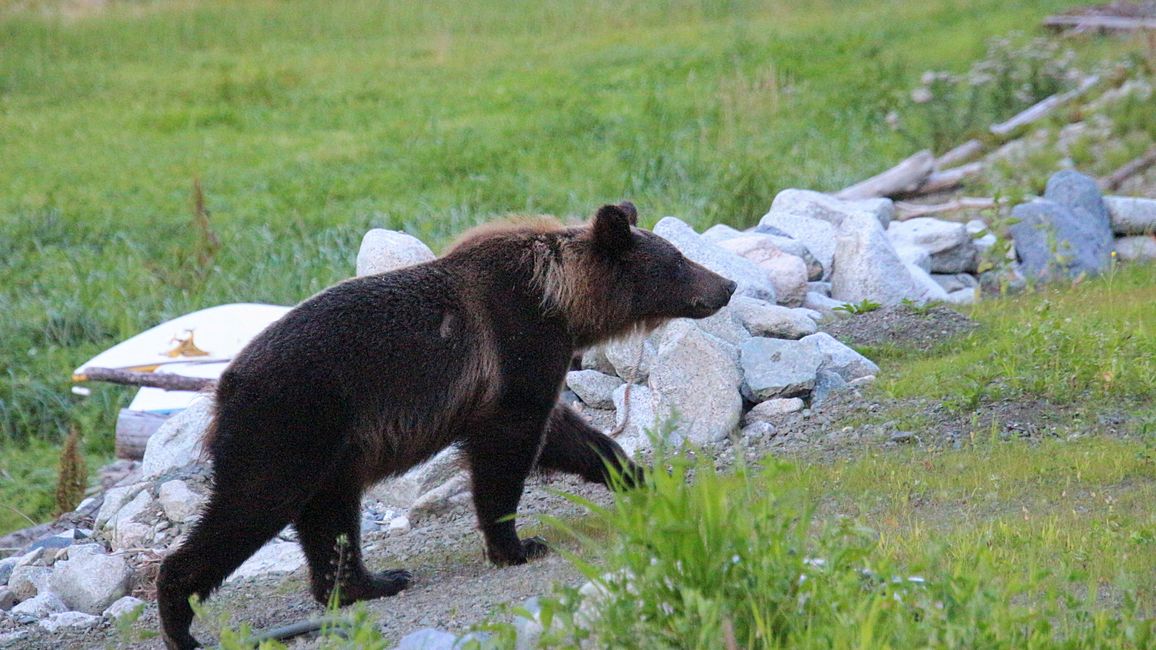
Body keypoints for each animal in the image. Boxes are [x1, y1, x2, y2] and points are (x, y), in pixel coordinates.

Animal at [156, 200, 730, 643]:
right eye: (679, 261)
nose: (726, 284)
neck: (562, 303)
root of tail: (222, 387)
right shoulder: (515, 347)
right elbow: (508, 449)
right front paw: (517, 544)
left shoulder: (531, 367)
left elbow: (567, 434)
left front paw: (640, 476)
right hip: (288, 423)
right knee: (251, 505)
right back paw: (180, 619)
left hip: (334, 447)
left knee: (330, 517)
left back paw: (374, 581)